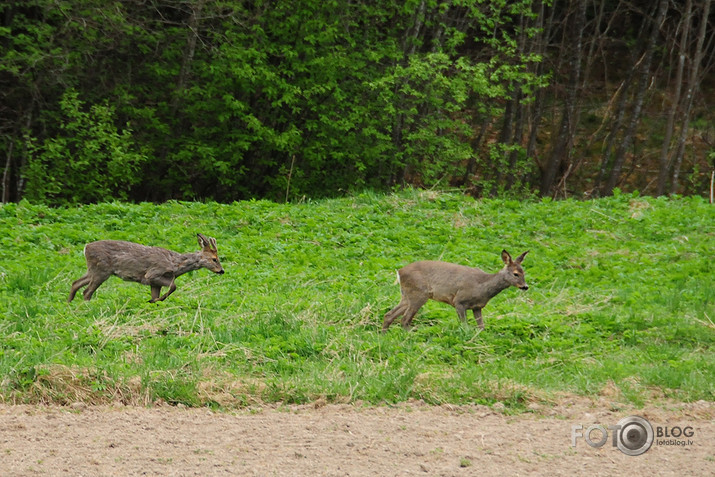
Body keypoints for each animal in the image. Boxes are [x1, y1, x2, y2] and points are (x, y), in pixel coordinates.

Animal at [68, 231, 224, 302]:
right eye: (214, 259)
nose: (222, 271)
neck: (175, 264)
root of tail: (86, 247)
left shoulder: (155, 284)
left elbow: (160, 293)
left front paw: (153, 301)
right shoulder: (152, 274)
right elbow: (174, 286)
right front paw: (154, 300)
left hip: (93, 269)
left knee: (76, 283)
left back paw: (69, 304)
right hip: (101, 270)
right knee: (87, 291)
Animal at [384, 249, 528, 330]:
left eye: (524, 272)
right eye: (516, 274)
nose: (525, 286)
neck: (482, 287)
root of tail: (399, 272)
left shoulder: (477, 307)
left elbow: (481, 327)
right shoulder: (459, 301)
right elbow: (465, 326)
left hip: (406, 295)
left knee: (389, 315)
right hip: (418, 294)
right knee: (404, 319)